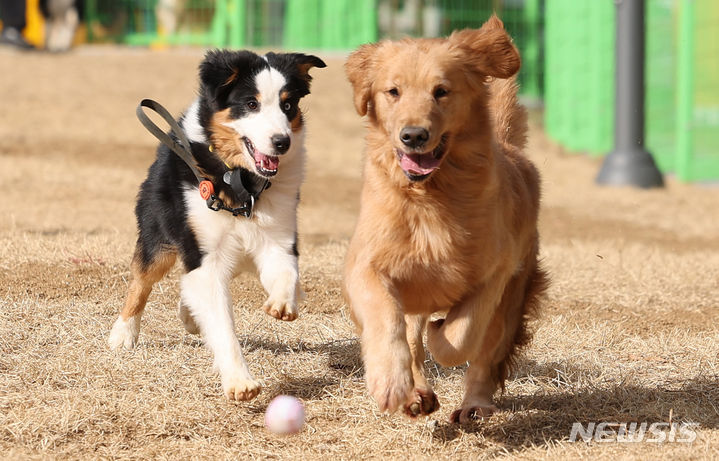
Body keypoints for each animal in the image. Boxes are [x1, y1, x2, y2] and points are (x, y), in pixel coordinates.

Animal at [109, 48, 326, 398]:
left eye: (287, 105)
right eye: (250, 103)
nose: (282, 142)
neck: (240, 181)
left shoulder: (278, 238)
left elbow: (287, 272)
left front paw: (282, 303)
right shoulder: (204, 252)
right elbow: (222, 324)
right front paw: (240, 380)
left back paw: (189, 316)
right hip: (160, 238)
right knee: (141, 282)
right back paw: (123, 332)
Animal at [346, 16, 548, 422]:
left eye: (442, 91)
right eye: (393, 91)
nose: (413, 135)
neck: (429, 197)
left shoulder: (493, 274)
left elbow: (460, 337)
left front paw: (441, 331)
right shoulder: (364, 265)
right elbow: (387, 320)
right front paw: (390, 382)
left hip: (516, 293)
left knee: (487, 353)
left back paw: (474, 406)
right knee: (411, 336)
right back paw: (416, 394)